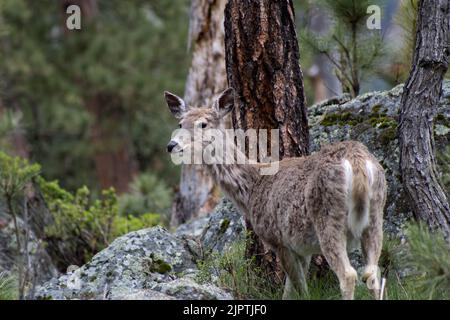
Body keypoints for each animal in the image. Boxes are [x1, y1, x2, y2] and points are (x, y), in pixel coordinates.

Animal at [164, 88, 386, 300]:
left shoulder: (278, 239)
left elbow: (299, 289)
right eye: (181, 123)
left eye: (203, 124)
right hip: (375, 215)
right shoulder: (301, 248)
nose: (172, 145)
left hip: (329, 217)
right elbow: (290, 290)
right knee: (372, 273)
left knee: (349, 275)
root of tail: (357, 163)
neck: (253, 187)